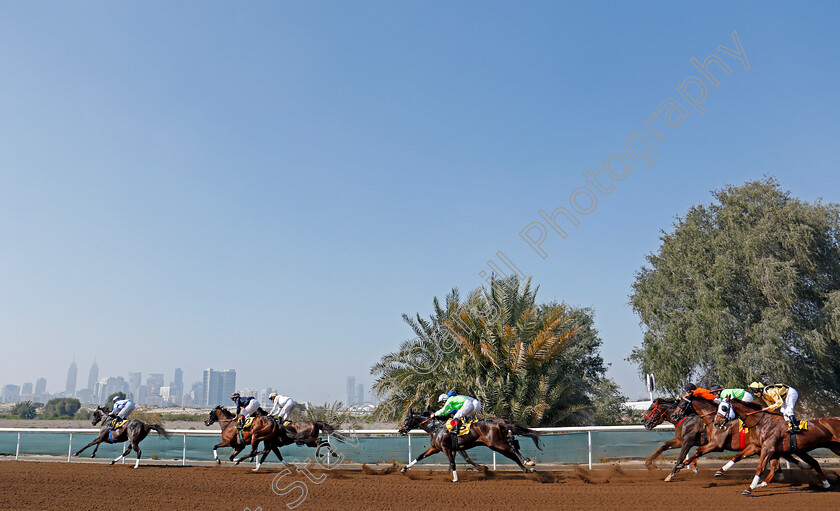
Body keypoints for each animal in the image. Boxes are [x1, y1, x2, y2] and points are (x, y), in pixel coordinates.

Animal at [398, 412, 540, 484]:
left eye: (406, 419)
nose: (400, 430)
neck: (436, 428)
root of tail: (498, 422)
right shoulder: (436, 448)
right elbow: (420, 456)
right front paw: (404, 468)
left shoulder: (446, 448)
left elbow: (453, 462)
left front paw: (455, 478)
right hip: (496, 445)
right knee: (512, 453)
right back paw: (526, 469)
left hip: (496, 443)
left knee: (513, 448)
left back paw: (528, 462)